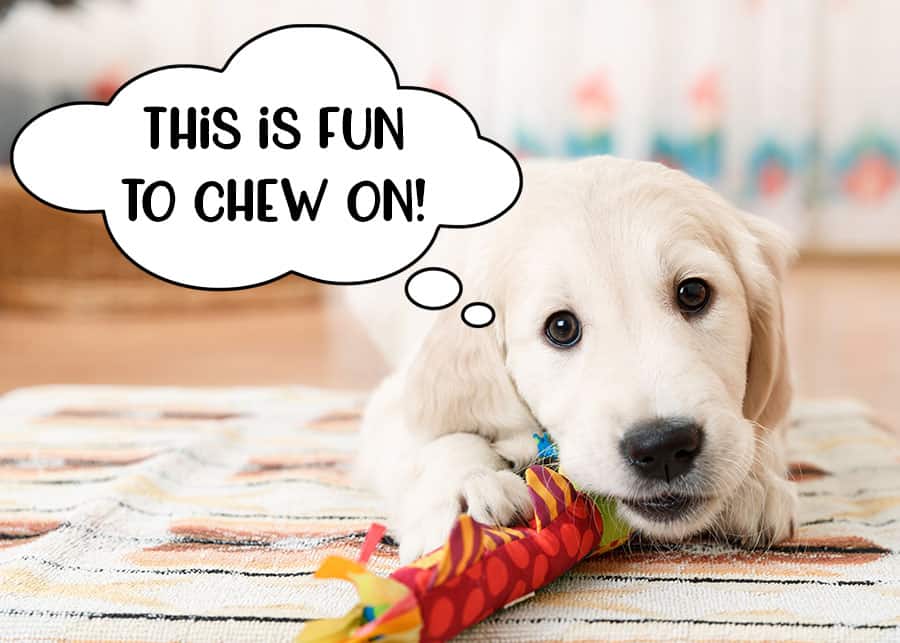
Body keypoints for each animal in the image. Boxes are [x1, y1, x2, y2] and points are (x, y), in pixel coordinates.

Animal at [348, 157, 800, 564]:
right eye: (561, 327)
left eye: (693, 293)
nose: (663, 446)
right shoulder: (394, 402)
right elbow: (440, 436)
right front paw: (466, 488)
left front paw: (755, 482)